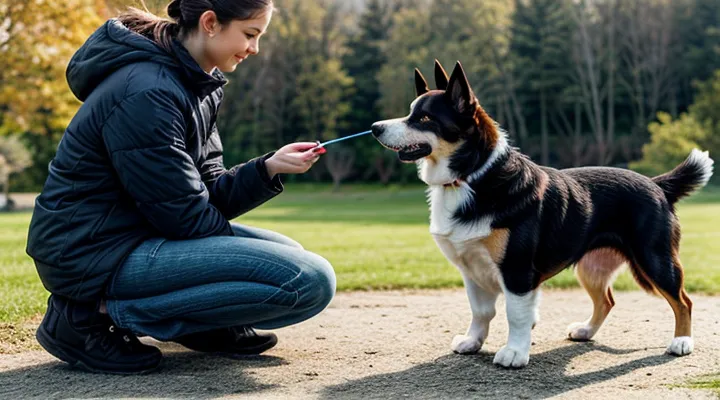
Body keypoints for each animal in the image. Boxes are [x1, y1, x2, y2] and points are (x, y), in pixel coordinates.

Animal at [372, 60, 716, 368]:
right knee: (606, 299)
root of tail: (657, 184)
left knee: (682, 300)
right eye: (410, 113)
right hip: (591, 267)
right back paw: (586, 330)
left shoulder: (517, 271)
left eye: (424, 117)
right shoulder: (471, 268)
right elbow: (481, 312)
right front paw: (473, 341)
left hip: (654, 260)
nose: (376, 128)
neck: (471, 176)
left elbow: (515, 314)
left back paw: (682, 341)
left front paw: (514, 352)